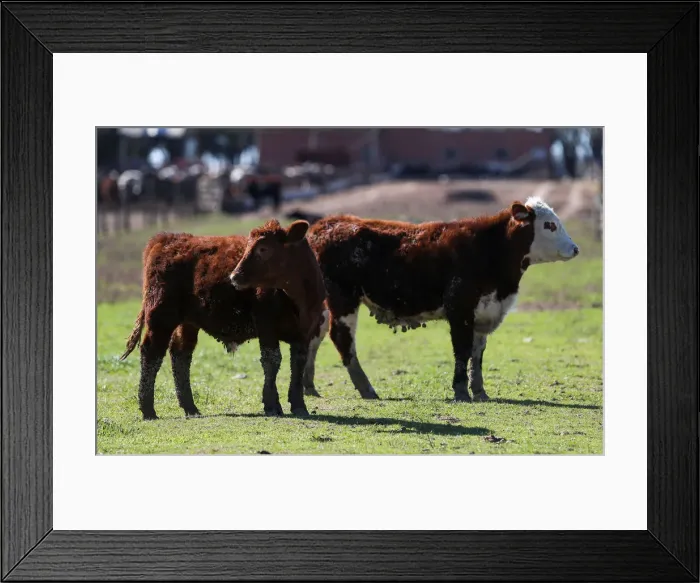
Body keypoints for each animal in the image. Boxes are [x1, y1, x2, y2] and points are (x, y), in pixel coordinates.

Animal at [119, 219, 327, 420]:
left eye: (263, 248)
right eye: (247, 246)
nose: (234, 276)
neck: (298, 298)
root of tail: (167, 238)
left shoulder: (305, 333)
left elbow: (298, 364)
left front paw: (299, 405)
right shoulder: (266, 326)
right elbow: (272, 361)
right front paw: (272, 405)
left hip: (187, 322)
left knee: (180, 353)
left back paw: (190, 407)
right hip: (160, 315)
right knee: (152, 352)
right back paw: (148, 409)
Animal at [301, 196, 579, 402]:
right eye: (550, 225)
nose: (575, 249)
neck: (490, 248)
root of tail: (326, 224)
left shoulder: (484, 312)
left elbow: (477, 354)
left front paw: (480, 392)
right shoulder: (460, 310)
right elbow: (462, 351)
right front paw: (461, 391)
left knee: (315, 335)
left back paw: (309, 386)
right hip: (343, 300)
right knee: (342, 338)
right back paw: (366, 388)